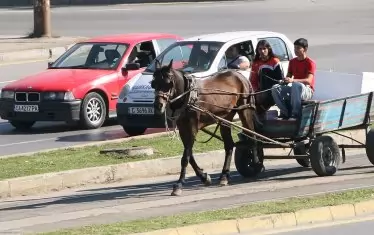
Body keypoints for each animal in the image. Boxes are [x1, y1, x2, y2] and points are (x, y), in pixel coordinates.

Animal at [150, 59, 264, 196]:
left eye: (168, 83)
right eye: (153, 84)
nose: (158, 105)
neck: (188, 96)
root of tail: (240, 75)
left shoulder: (192, 127)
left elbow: (185, 157)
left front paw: (178, 184)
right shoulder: (182, 128)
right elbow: (190, 155)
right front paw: (204, 177)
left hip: (245, 110)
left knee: (252, 136)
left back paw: (256, 162)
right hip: (226, 118)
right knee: (229, 146)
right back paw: (224, 176)